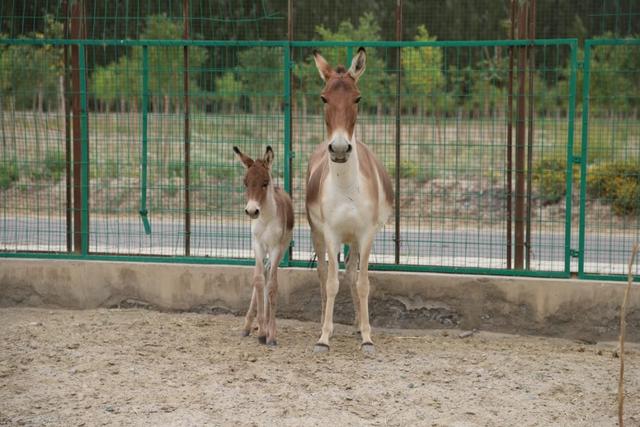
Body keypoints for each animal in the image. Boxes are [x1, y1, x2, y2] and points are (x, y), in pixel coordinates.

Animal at [235, 145, 296, 346]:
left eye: (264, 182)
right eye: (245, 183)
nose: (252, 211)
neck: (266, 218)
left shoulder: (276, 248)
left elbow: (272, 286)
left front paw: (271, 334)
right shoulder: (257, 245)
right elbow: (258, 281)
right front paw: (261, 330)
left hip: (282, 247)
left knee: (270, 277)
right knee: (263, 277)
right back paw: (248, 326)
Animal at [306, 48, 396, 352]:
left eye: (358, 98)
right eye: (323, 97)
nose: (340, 149)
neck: (346, 186)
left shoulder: (366, 233)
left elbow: (363, 282)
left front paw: (367, 336)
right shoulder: (331, 233)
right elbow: (332, 282)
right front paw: (324, 337)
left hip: (355, 240)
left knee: (351, 273)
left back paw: (357, 325)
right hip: (316, 232)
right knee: (323, 274)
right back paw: (324, 322)